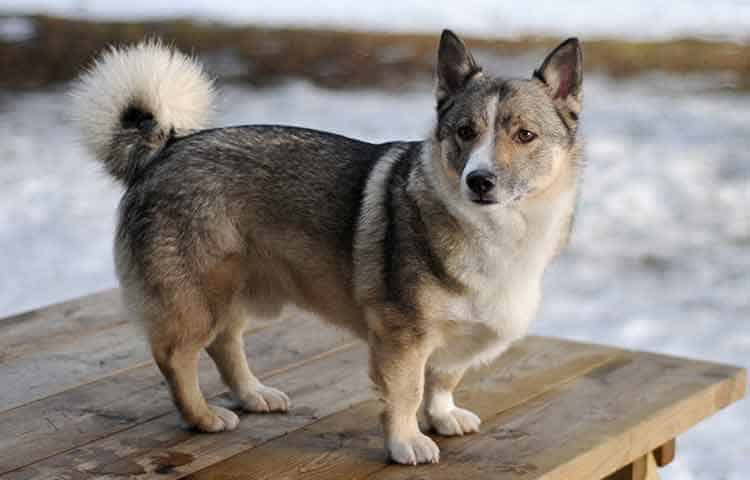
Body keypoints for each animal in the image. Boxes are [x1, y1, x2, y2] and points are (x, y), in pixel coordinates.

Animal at [70, 31, 584, 464]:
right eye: (465, 132)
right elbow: (406, 393)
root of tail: (166, 148)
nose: (479, 180)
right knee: (176, 357)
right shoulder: (403, 336)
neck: (499, 230)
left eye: (524, 135)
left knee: (225, 343)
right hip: (199, 298)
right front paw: (406, 442)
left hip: (240, 290)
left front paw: (442, 416)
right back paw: (203, 417)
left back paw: (253, 393)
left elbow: (442, 379)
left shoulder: (449, 341)